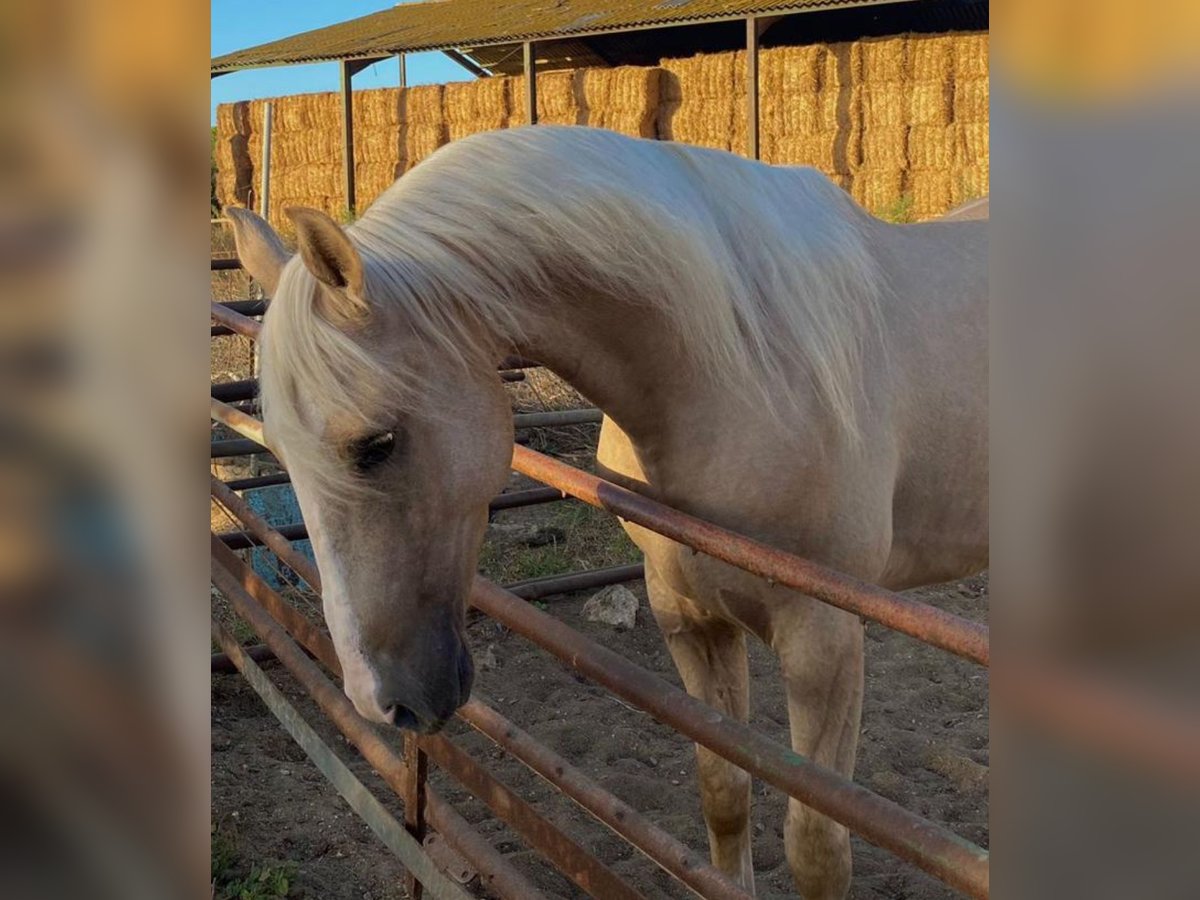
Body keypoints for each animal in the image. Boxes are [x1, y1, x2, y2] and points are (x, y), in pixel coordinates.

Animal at [225, 127, 984, 900]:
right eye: (280, 450)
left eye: (375, 444)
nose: (381, 702)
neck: (748, 367)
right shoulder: (687, 614)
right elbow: (724, 793)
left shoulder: (824, 641)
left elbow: (818, 849)